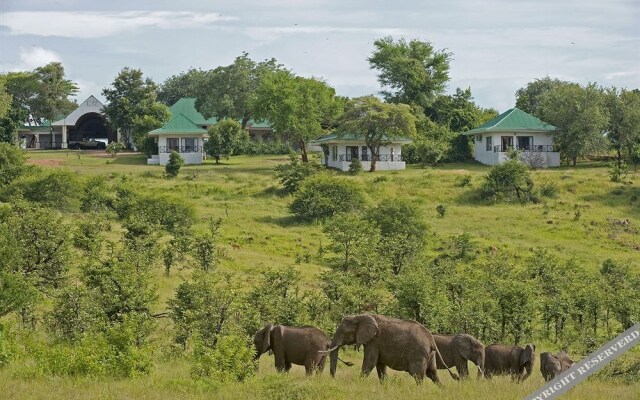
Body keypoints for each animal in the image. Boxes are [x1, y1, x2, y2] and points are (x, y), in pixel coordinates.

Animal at [322, 312, 458, 384]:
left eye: (343, 332)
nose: (333, 380)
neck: (360, 316)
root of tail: (431, 340)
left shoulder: (374, 341)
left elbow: (370, 363)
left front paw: (358, 383)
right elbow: (380, 366)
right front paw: (385, 386)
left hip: (418, 354)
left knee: (418, 375)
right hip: (430, 354)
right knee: (433, 374)